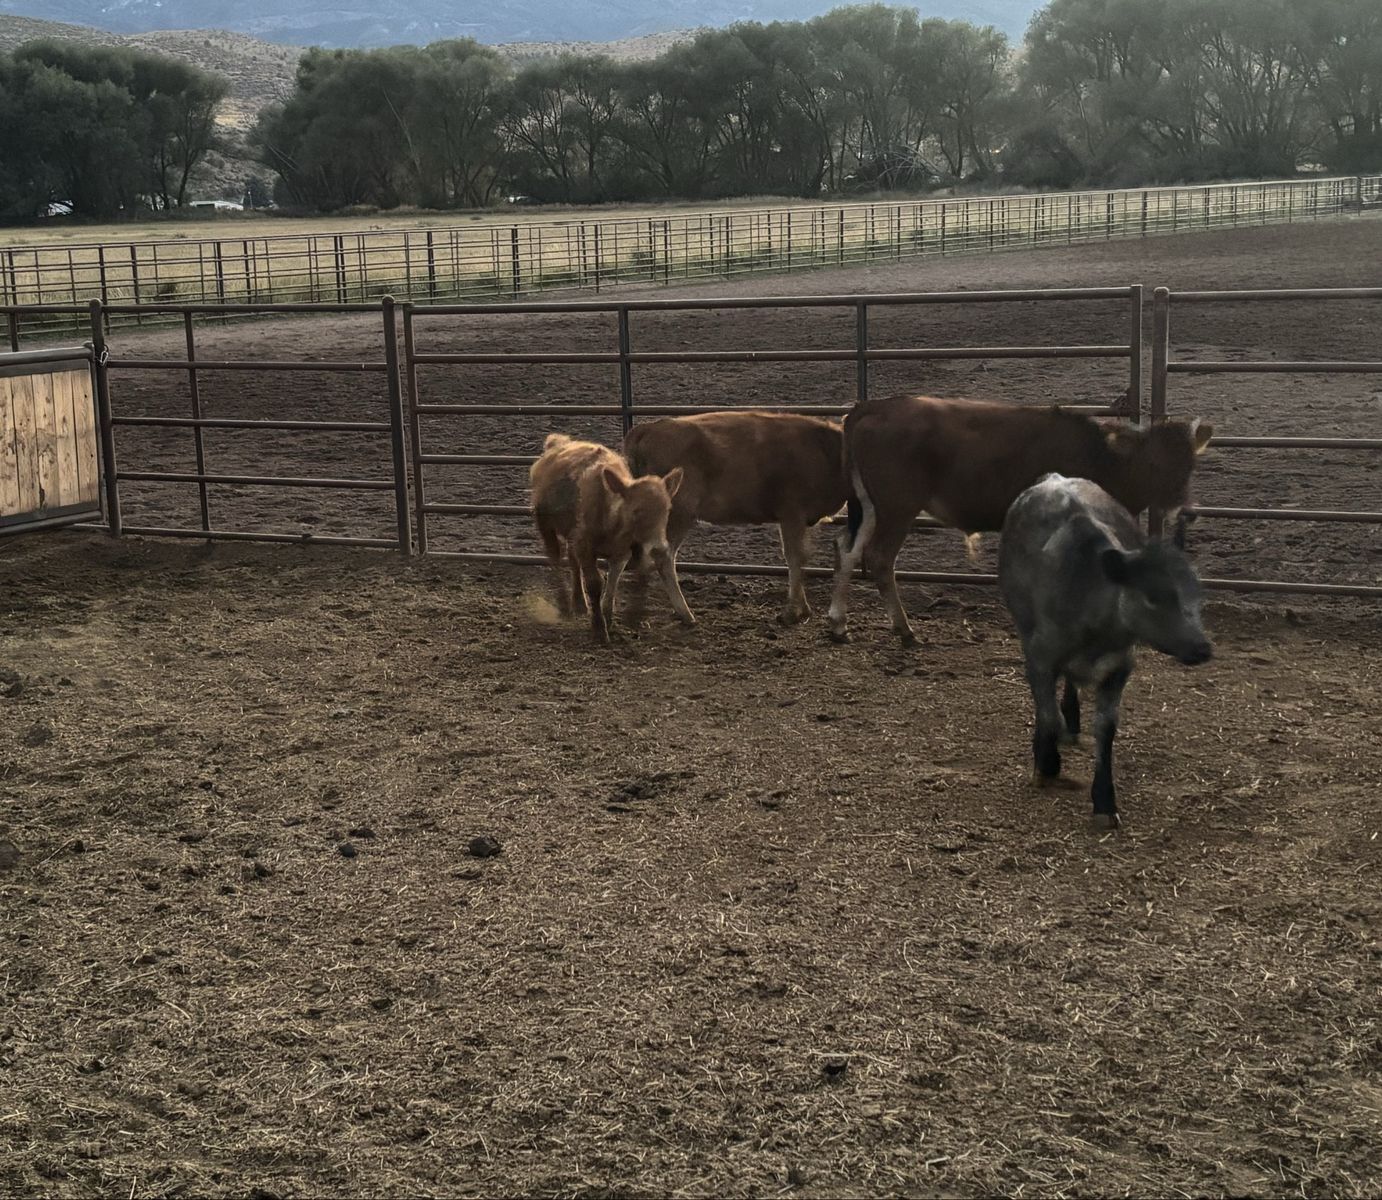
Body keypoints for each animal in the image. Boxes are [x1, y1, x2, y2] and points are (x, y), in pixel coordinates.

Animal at [529, 434, 683, 643]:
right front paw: (599, 628)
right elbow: (595, 583)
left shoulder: (620, 552)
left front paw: (608, 618)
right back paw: (564, 601)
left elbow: (612, 581)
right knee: (555, 558)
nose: (659, 548)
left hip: (572, 534)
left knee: (572, 561)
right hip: (546, 526)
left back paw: (579, 602)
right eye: (636, 510)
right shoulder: (585, 546)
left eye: (667, 509)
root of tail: (557, 444)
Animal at [623, 411, 849, 625]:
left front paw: (803, 609)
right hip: (679, 515)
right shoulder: (792, 514)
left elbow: (802, 558)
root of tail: (648, 429)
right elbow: (794, 558)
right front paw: (792, 612)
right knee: (663, 556)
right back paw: (685, 613)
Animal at [826, 394, 1213, 643]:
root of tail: (874, 406)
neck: (1098, 457)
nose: (1187, 510)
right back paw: (904, 629)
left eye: (1190, 465)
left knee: (847, 549)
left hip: (871, 506)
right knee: (879, 558)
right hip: (898, 507)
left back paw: (838, 623)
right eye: (1154, 464)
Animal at [999, 474, 1213, 828]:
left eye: (1196, 593)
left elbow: (1105, 729)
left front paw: (1103, 800)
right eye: (1153, 596)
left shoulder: (1119, 667)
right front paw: (1047, 762)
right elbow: (1047, 714)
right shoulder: (1040, 657)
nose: (1202, 647)